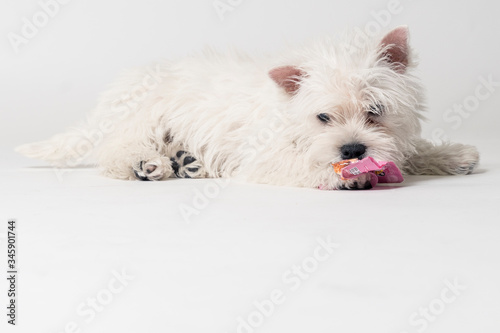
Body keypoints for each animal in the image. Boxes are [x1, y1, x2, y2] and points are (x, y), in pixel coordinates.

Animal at [15, 26, 478, 189]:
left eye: (376, 110)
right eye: (323, 117)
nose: (352, 151)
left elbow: (408, 150)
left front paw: (452, 155)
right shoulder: (263, 155)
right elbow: (301, 166)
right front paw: (342, 176)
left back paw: (186, 161)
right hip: (142, 118)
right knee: (114, 150)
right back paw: (149, 164)